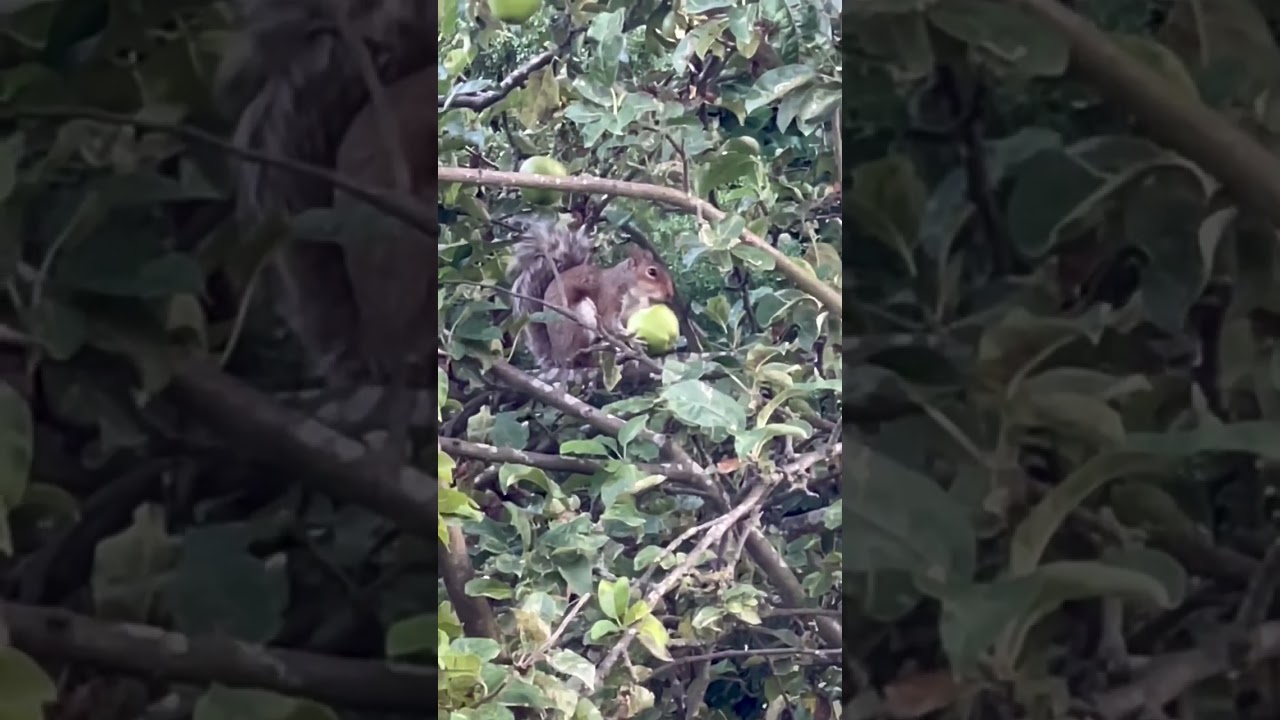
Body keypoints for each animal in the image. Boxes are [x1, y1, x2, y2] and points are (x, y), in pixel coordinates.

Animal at [509, 222, 676, 370]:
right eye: (652, 272)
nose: (670, 294)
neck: (634, 295)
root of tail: (558, 358)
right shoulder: (609, 299)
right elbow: (611, 325)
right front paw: (633, 338)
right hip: (580, 317)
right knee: (583, 357)